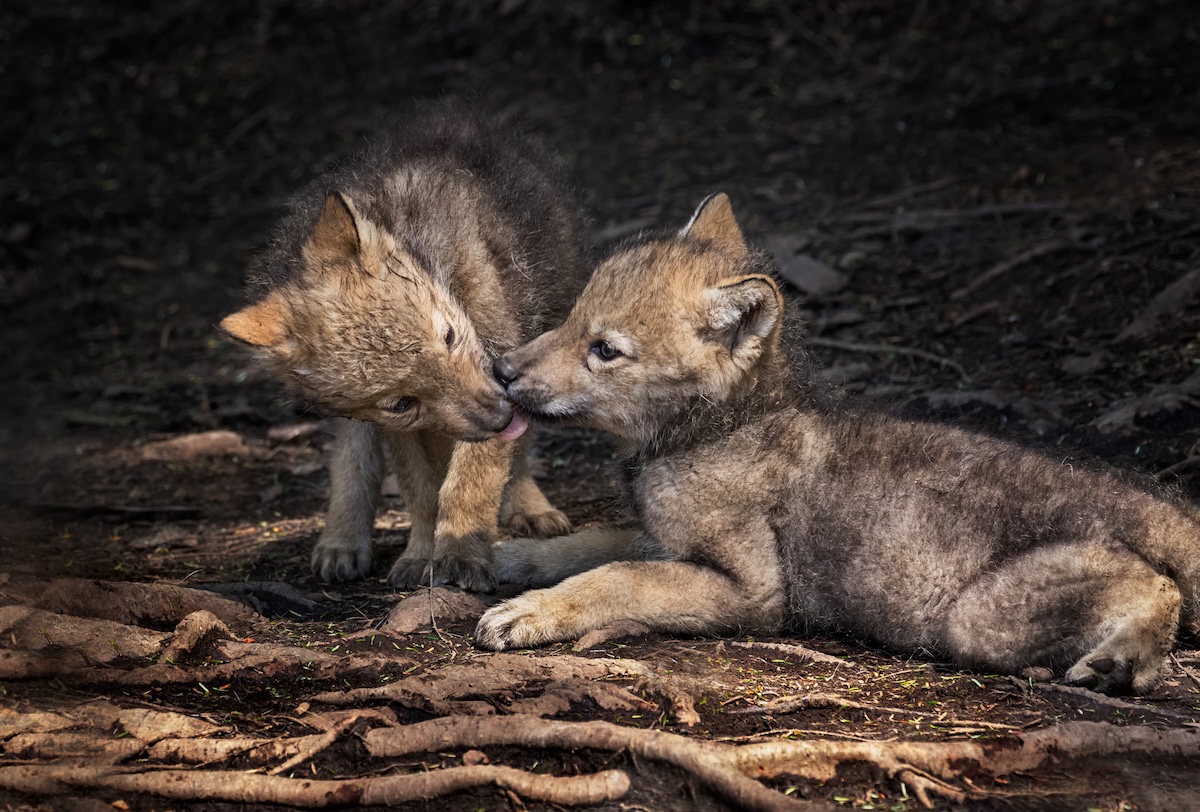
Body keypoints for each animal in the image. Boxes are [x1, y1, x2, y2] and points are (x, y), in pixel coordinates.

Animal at [220, 101, 586, 591]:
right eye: (401, 403)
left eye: (449, 336)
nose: (498, 418)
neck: (415, 241)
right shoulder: (400, 426)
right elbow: (421, 490)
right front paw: (423, 553)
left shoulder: (502, 357)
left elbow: (470, 480)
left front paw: (461, 554)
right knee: (352, 455)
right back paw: (341, 542)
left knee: (521, 450)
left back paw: (530, 507)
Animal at [476, 193, 1200, 694]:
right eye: (570, 319)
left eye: (605, 349)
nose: (503, 370)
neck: (718, 433)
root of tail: (1161, 507)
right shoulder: (663, 538)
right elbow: (591, 543)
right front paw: (509, 559)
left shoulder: (751, 589)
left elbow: (616, 575)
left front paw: (529, 611)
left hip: (979, 618)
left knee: (1158, 584)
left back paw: (1122, 661)